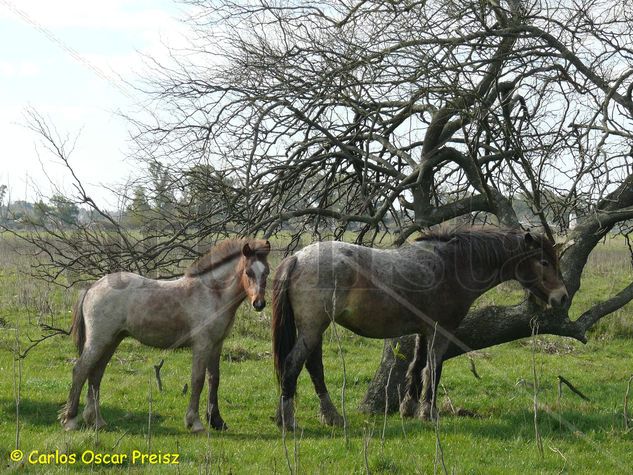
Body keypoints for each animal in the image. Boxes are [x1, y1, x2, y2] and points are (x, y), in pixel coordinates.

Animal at [56, 240, 270, 434]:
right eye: (248, 272)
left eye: (266, 272)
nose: (259, 304)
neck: (212, 294)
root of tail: (92, 287)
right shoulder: (202, 345)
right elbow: (197, 380)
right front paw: (195, 422)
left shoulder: (216, 344)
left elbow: (214, 379)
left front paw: (217, 421)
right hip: (99, 340)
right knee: (80, 370)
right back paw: (71, 421)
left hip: (112, 340)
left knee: (96, 374)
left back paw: (97, 421)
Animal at [272, 229, 568, 430]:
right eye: (544, 262)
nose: (563, 297)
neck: (454, 264)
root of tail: (297, 257)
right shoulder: (442, 329)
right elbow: (433, 368)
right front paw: (429, 412)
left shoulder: (424, 330)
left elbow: (417, 366)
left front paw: (409, 408)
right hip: (313, 328)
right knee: (293, 364)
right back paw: (289, 420)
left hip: (315, 329)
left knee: (313, 367)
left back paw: (331, 416)